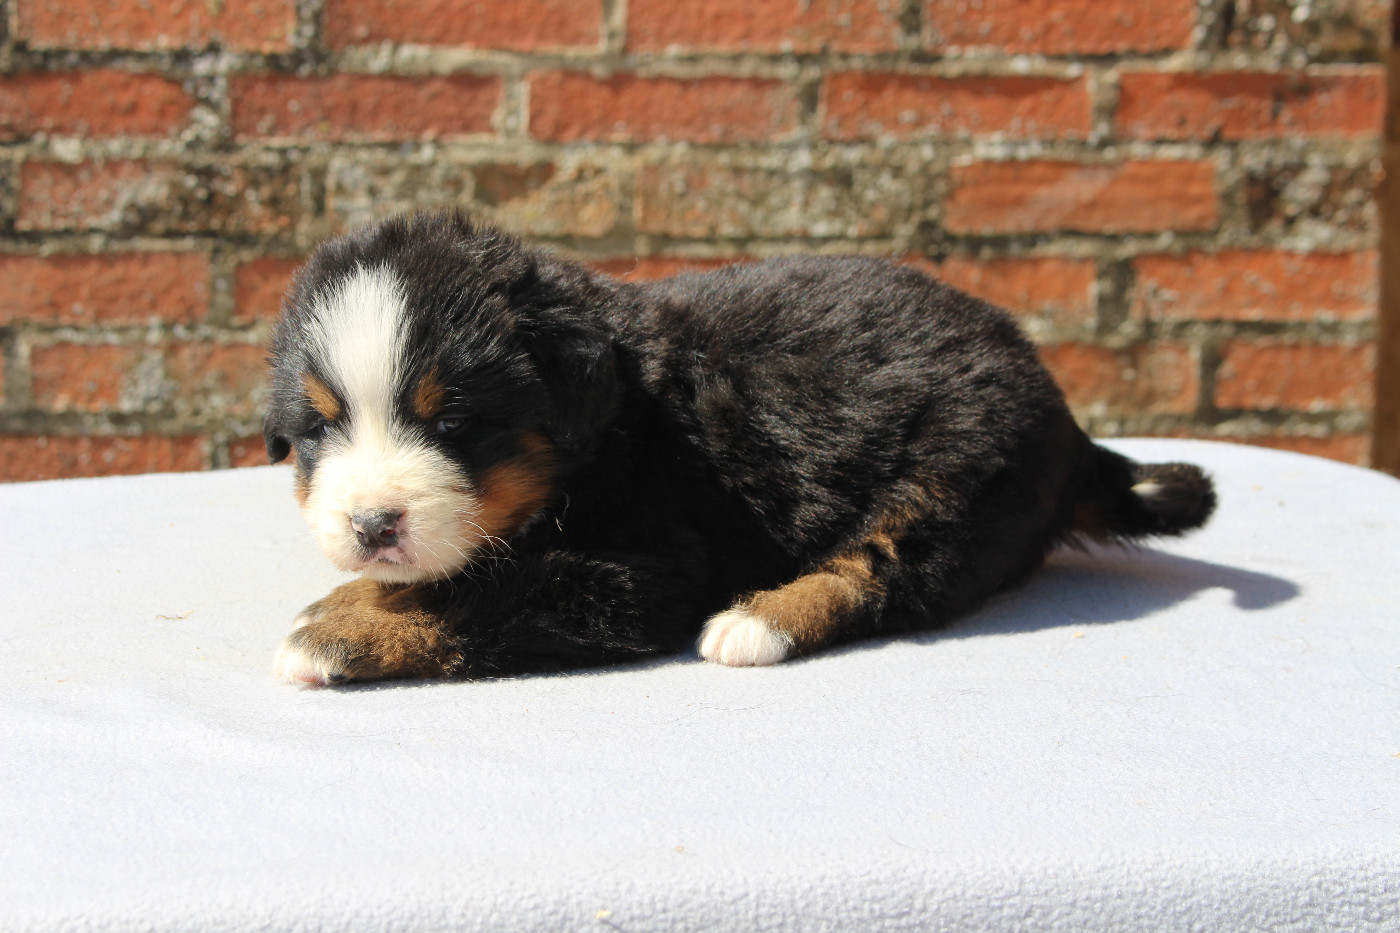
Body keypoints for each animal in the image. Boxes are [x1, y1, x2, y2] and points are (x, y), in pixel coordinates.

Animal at [264, 210, 1216, 685]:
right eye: (319, 428)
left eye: (454, 423)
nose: (371, 525)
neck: (615, 424)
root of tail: (1061, 412)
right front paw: (368, 592)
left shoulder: (643, 571)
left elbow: (483, 592)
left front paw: (341, 628)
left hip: (953, 479)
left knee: (874, 577)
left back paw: (758, 622)